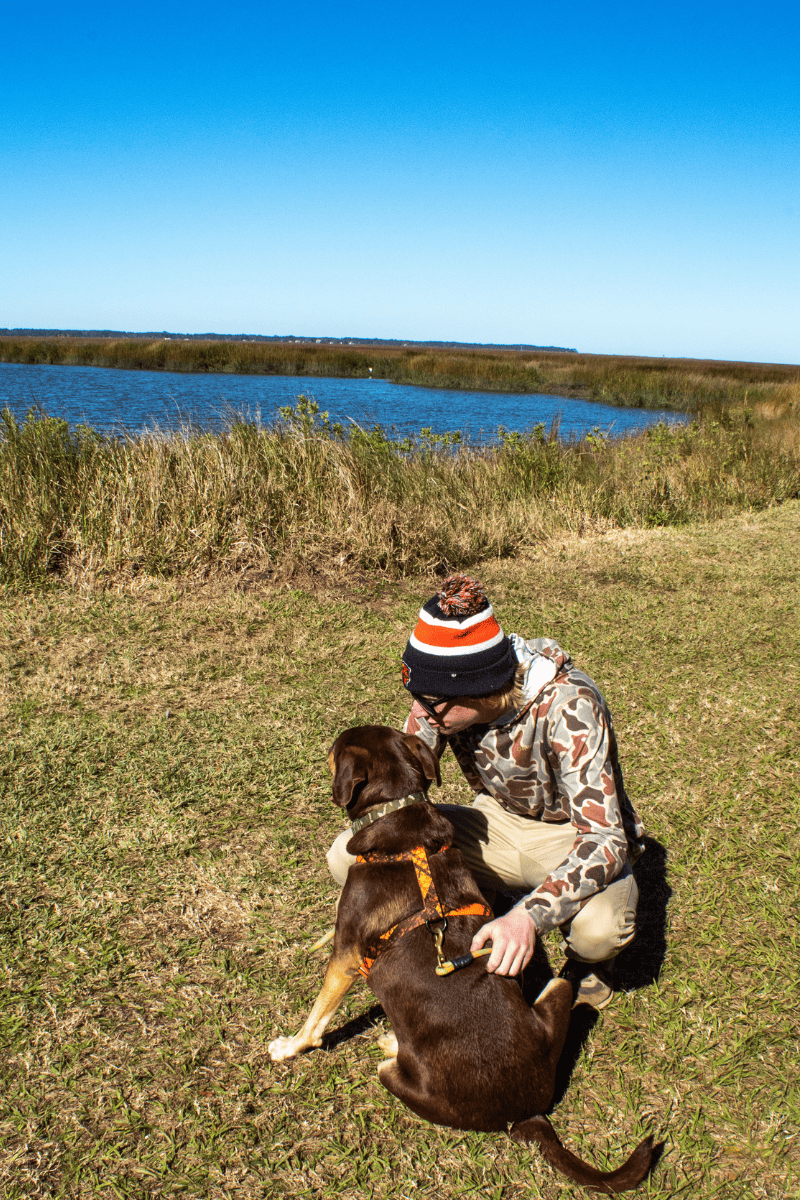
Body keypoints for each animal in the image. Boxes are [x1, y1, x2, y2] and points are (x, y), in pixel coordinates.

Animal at [271, 720, 657, 1190]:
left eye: (333, 749)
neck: (401, 824)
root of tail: (529, 1116)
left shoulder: (348, 957)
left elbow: (317, 1017)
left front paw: (289, 1047)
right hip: (559, 987)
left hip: (391, 1076)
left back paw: (389, 1040)